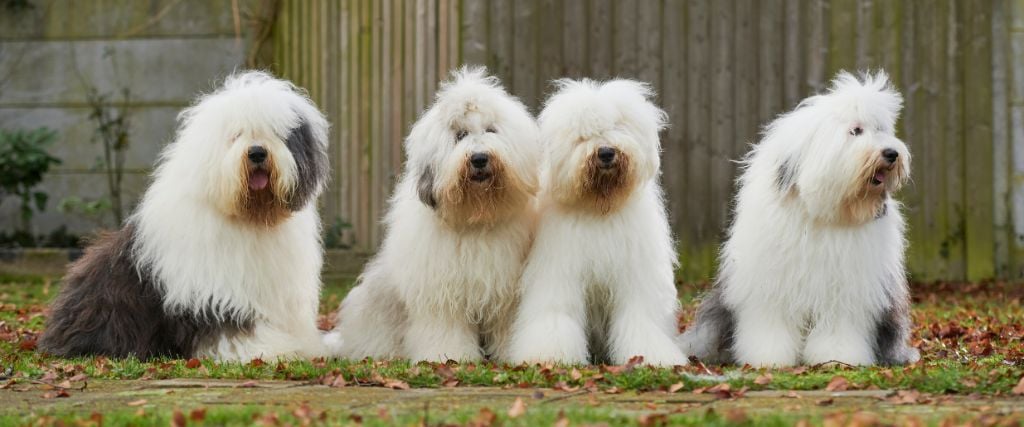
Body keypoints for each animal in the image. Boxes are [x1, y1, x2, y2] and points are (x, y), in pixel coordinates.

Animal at [323, 68, 540, 360]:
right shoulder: (440, 292)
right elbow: (445, 327)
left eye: (491, 130)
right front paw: (448, 356)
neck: (474, 217)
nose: (479, 158)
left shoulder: (504, 293)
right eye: (460, 135)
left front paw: (509, 353)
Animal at [501, 78, 688, 366]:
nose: (607, 153)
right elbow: (558, 313)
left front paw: (651, 355)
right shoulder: (561, 273)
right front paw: (549, 354)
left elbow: (639, 318)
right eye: (582, 136)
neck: (600, 209)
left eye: (618, 127)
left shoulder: (634, 277)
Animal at [679, 69, 921, 366]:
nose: (891, 153)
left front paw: (837, 356)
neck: (821, 213)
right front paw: (768, 357)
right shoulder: (771, 285)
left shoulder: (846, 290)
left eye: (881, 130)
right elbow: (770, 323)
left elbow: (838, 326)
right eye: (855, 130)